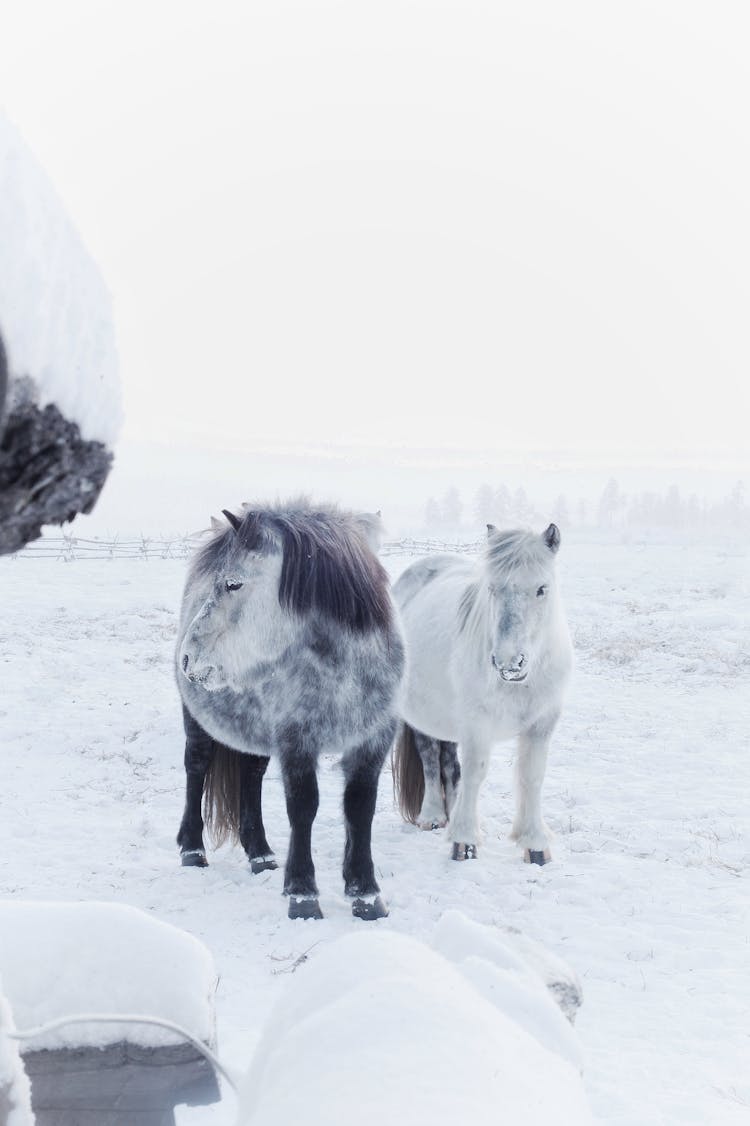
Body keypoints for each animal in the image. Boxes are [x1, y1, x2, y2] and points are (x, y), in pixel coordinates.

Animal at [391, 524, 572, 860]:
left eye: (542, 589)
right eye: (492, 589)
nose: (508, 662)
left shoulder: (542, 723)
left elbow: (532, 775)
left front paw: (535, 846)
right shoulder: (477, 723)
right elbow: (476, 771)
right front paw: (464, 841)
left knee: (449, 763)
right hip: (421, 715)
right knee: (430, 757)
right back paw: (433, 817)